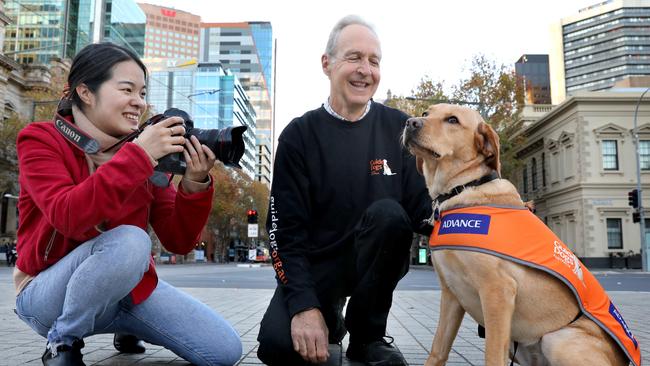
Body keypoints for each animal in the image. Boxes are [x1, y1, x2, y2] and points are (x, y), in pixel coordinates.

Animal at [400, 103, 628, 366]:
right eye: (426, 113)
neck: (465, 186)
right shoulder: (451, 295)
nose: (411, 123)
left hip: (558, 339)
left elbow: (492, 357)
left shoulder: (498, 292)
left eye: (452, 120)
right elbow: (438, 350)